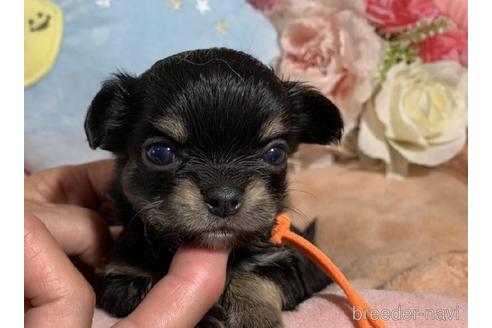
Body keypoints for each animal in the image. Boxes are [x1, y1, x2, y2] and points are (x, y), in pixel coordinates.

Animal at [84, 47, 344, 326]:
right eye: (159, 153)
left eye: (275, 154)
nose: (224, 199)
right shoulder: (122, 279)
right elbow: (149, 286)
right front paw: (206, 317)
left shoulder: (283, 262)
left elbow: (256, 277)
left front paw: (254, 316)